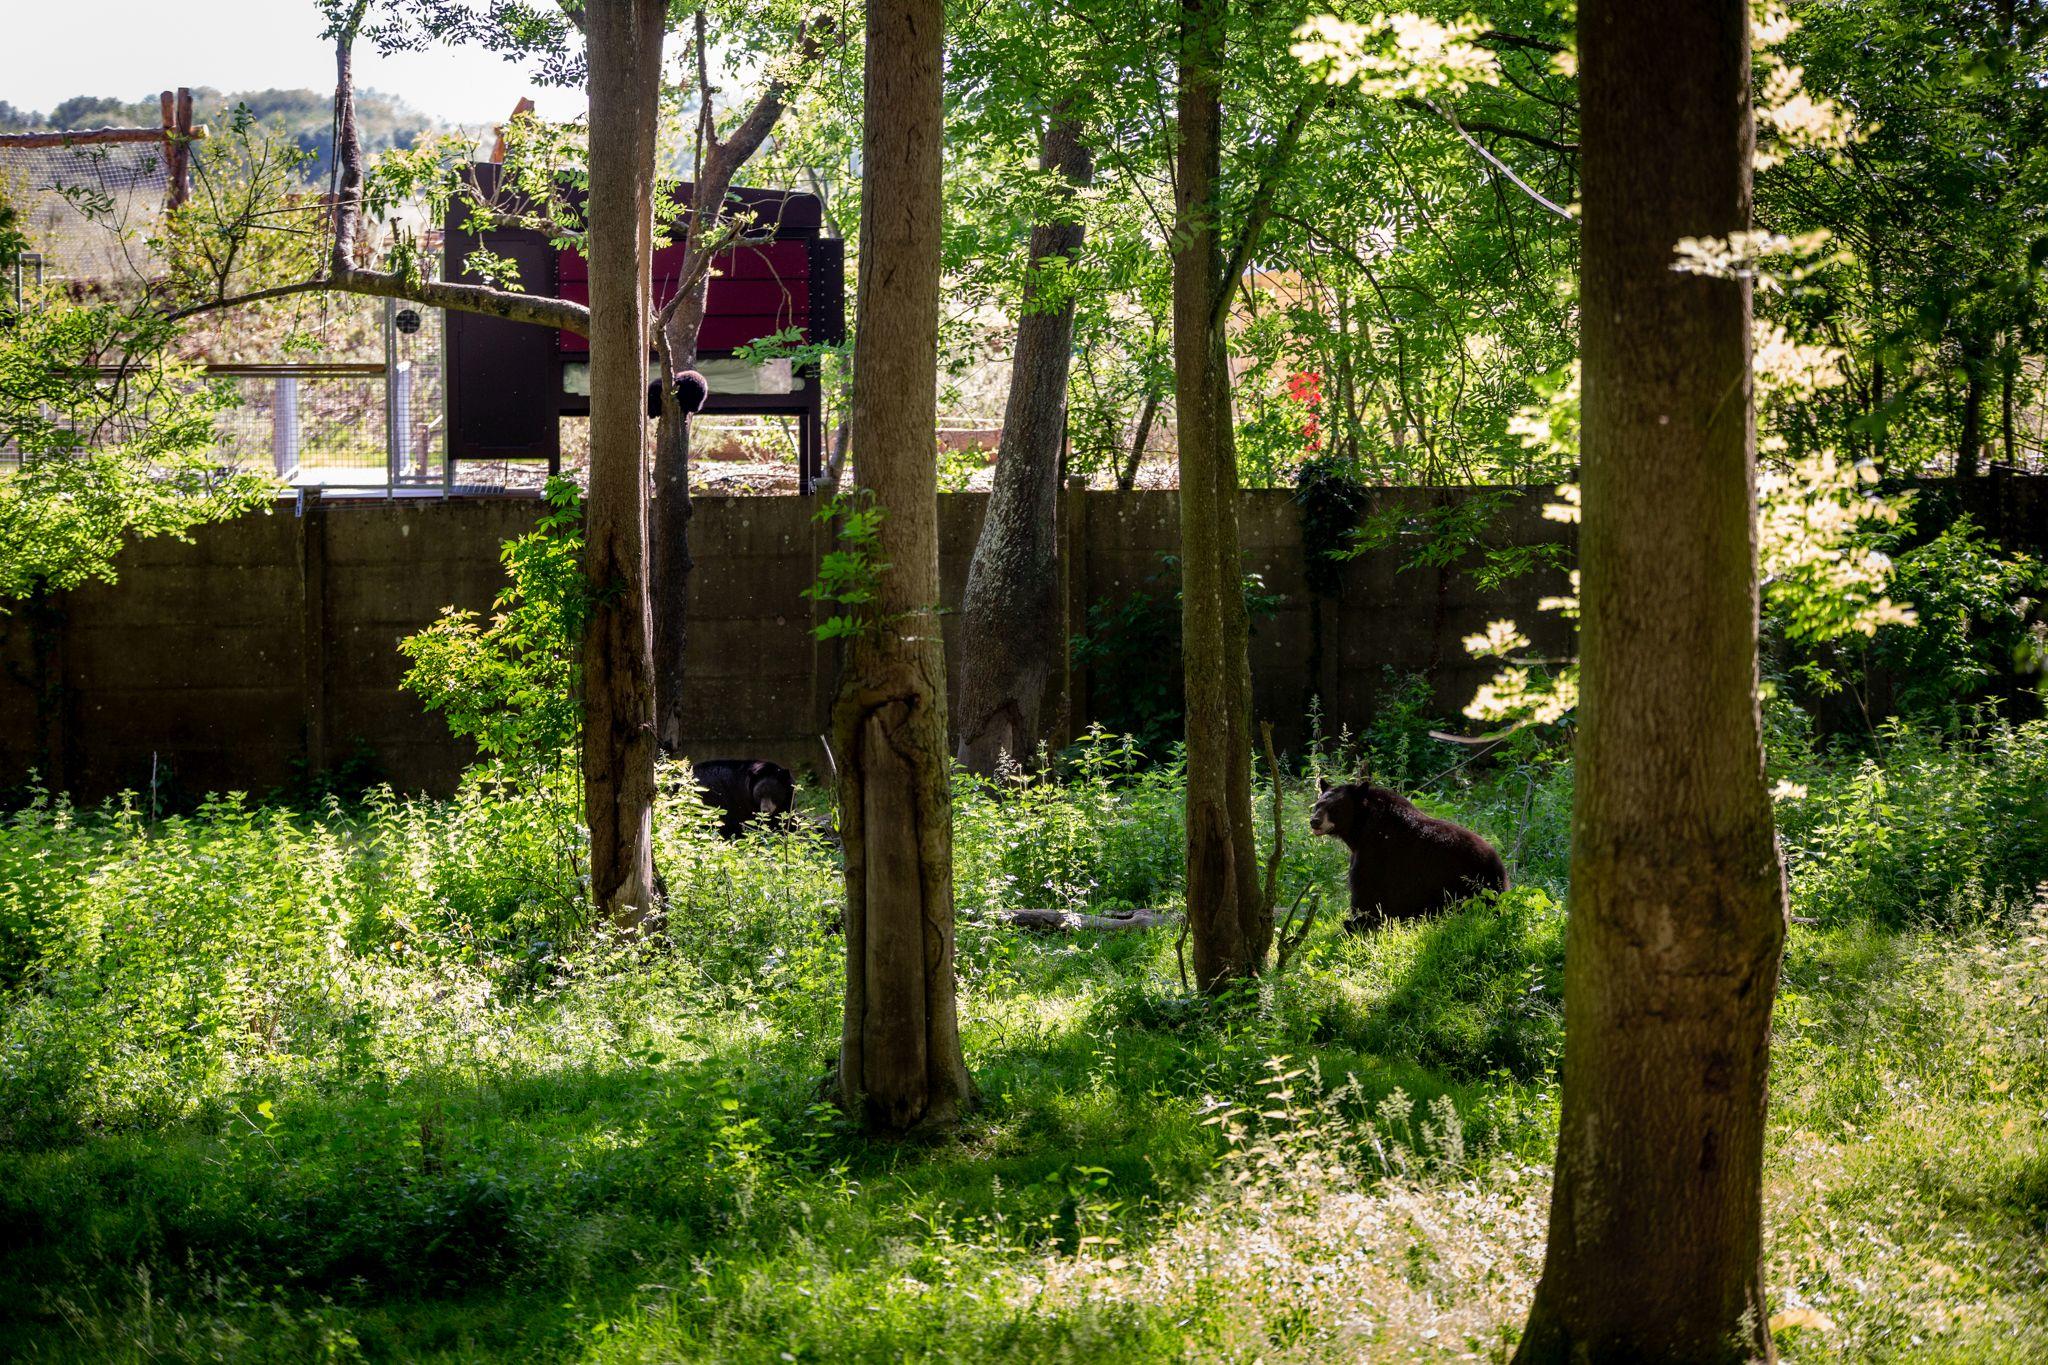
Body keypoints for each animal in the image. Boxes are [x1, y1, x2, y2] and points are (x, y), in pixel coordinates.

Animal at [1310, 777, 1507, 929]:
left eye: (1335, 808)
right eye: (1317, 805)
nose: (1314, 821)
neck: (1361, 827)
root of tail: (1499, 867)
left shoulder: (1374, 852)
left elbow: (1365, 890)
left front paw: (1357, 923)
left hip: (1464, 884)